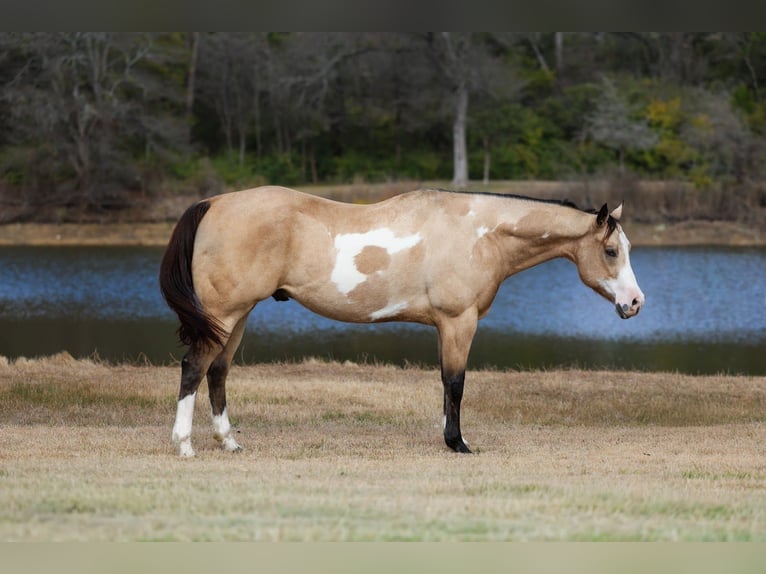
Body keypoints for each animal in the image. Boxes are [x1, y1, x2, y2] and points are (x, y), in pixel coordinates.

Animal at [159, 186, 644, 457]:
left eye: (627, 249)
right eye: (610, 251)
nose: (635, 303)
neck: (479, 235)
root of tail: (213, 203)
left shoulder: (445, 326)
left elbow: (446, 383)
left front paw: (447, 436)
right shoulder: (459, 322)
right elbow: (456, 383)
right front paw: (457, 443)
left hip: (237, 316)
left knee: (218, 372)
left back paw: (229, 442)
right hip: (223, 314)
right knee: (194, 368)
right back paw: (184, 445)